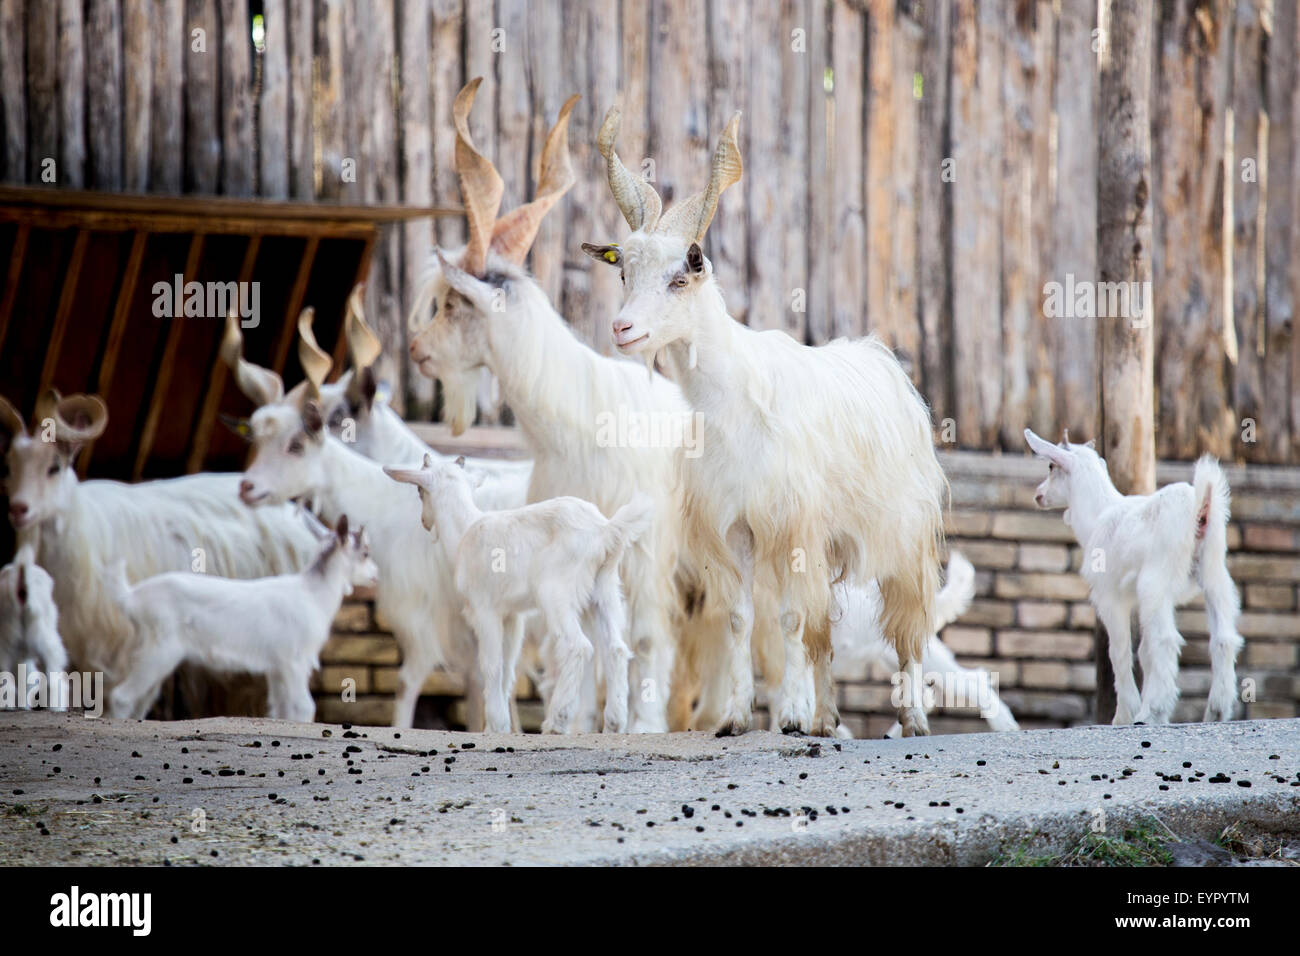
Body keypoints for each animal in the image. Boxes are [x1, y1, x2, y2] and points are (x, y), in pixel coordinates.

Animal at [410, 80, 686, 733]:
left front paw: (638, 725)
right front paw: (578, 720)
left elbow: (646, 642)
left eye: (452, 305)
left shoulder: (645, 556)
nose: (415, 351)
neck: (576, 420)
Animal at [587, 108, 946, 738]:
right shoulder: (733, 529)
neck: (732, 404)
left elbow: (789, 620)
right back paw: (828, 718)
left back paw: (912, 719)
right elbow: (741, 618)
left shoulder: (791, 526)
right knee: (827, 628)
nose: (623, 329)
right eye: (623, 270)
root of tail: (882, 361)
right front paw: (736, 718)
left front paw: (792, 717)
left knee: (907, 626)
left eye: (682, 275)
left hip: (904, 534)